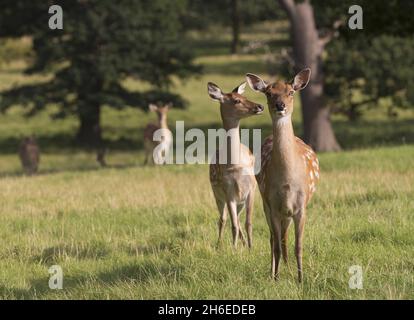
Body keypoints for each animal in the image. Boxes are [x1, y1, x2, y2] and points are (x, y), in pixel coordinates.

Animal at [209, 81, 264, 249]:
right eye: (236, 100)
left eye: (244, 96)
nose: (260, 106)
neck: (235, 165)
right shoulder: (228, 192)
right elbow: (232, 225)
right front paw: (234, 249)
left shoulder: (251, 189)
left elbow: (248, 223)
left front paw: (251, 248)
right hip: (217, 195)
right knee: (223, 219)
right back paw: (219, 244)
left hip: (240, 200)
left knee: (238, 220)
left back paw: (244, 244)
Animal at [246, 69, 320, 282]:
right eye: (269, 93)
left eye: (291, 92)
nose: (280, 106)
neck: (287, 181)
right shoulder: (272, 204)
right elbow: (276, 245)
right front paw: (276, 278)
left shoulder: (301, 206)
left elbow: (298, 246)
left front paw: (301, 279)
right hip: (265, 203)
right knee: (273, 239)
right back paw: (274, 270)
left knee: (283, 237)